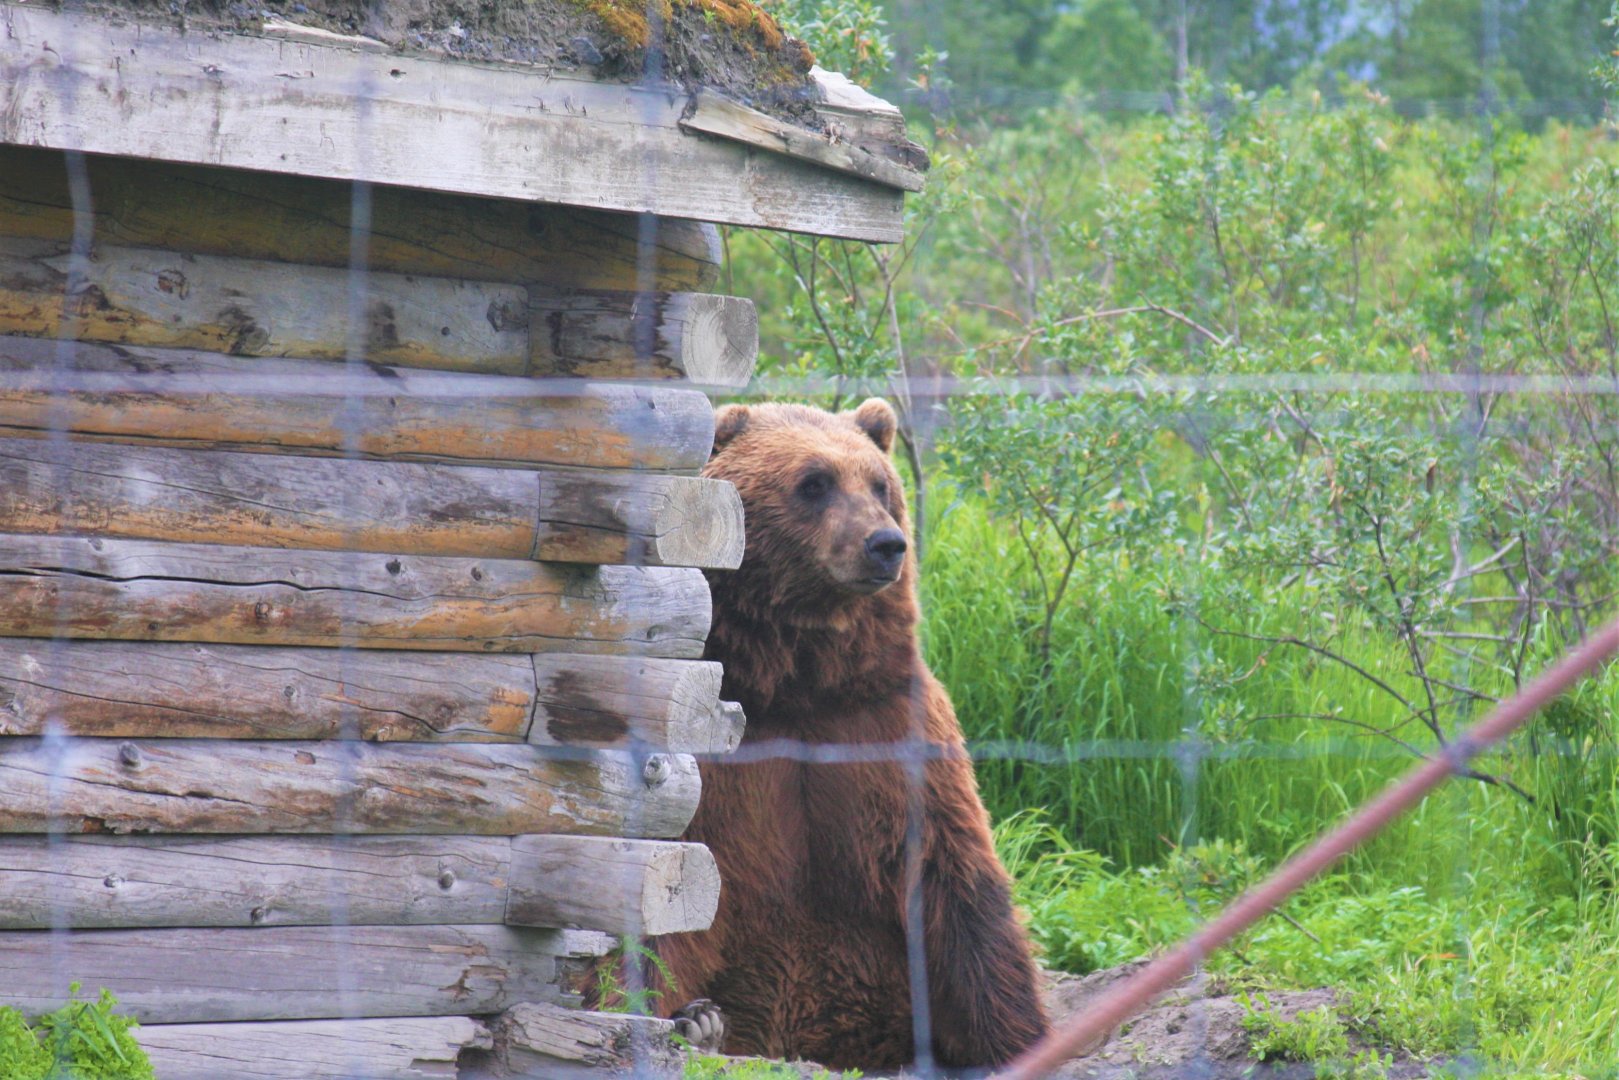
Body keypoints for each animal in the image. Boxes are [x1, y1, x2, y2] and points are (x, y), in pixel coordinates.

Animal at [640, 398, 1049, 1071]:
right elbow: (672, 890)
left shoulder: (885, 728)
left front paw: (1016, 1040)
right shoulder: (705, 751)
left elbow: (956, 880)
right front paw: (683, 1019)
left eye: (880, 484)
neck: (795, 682)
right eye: (814, 482)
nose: (886, 543)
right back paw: (704, 1024)